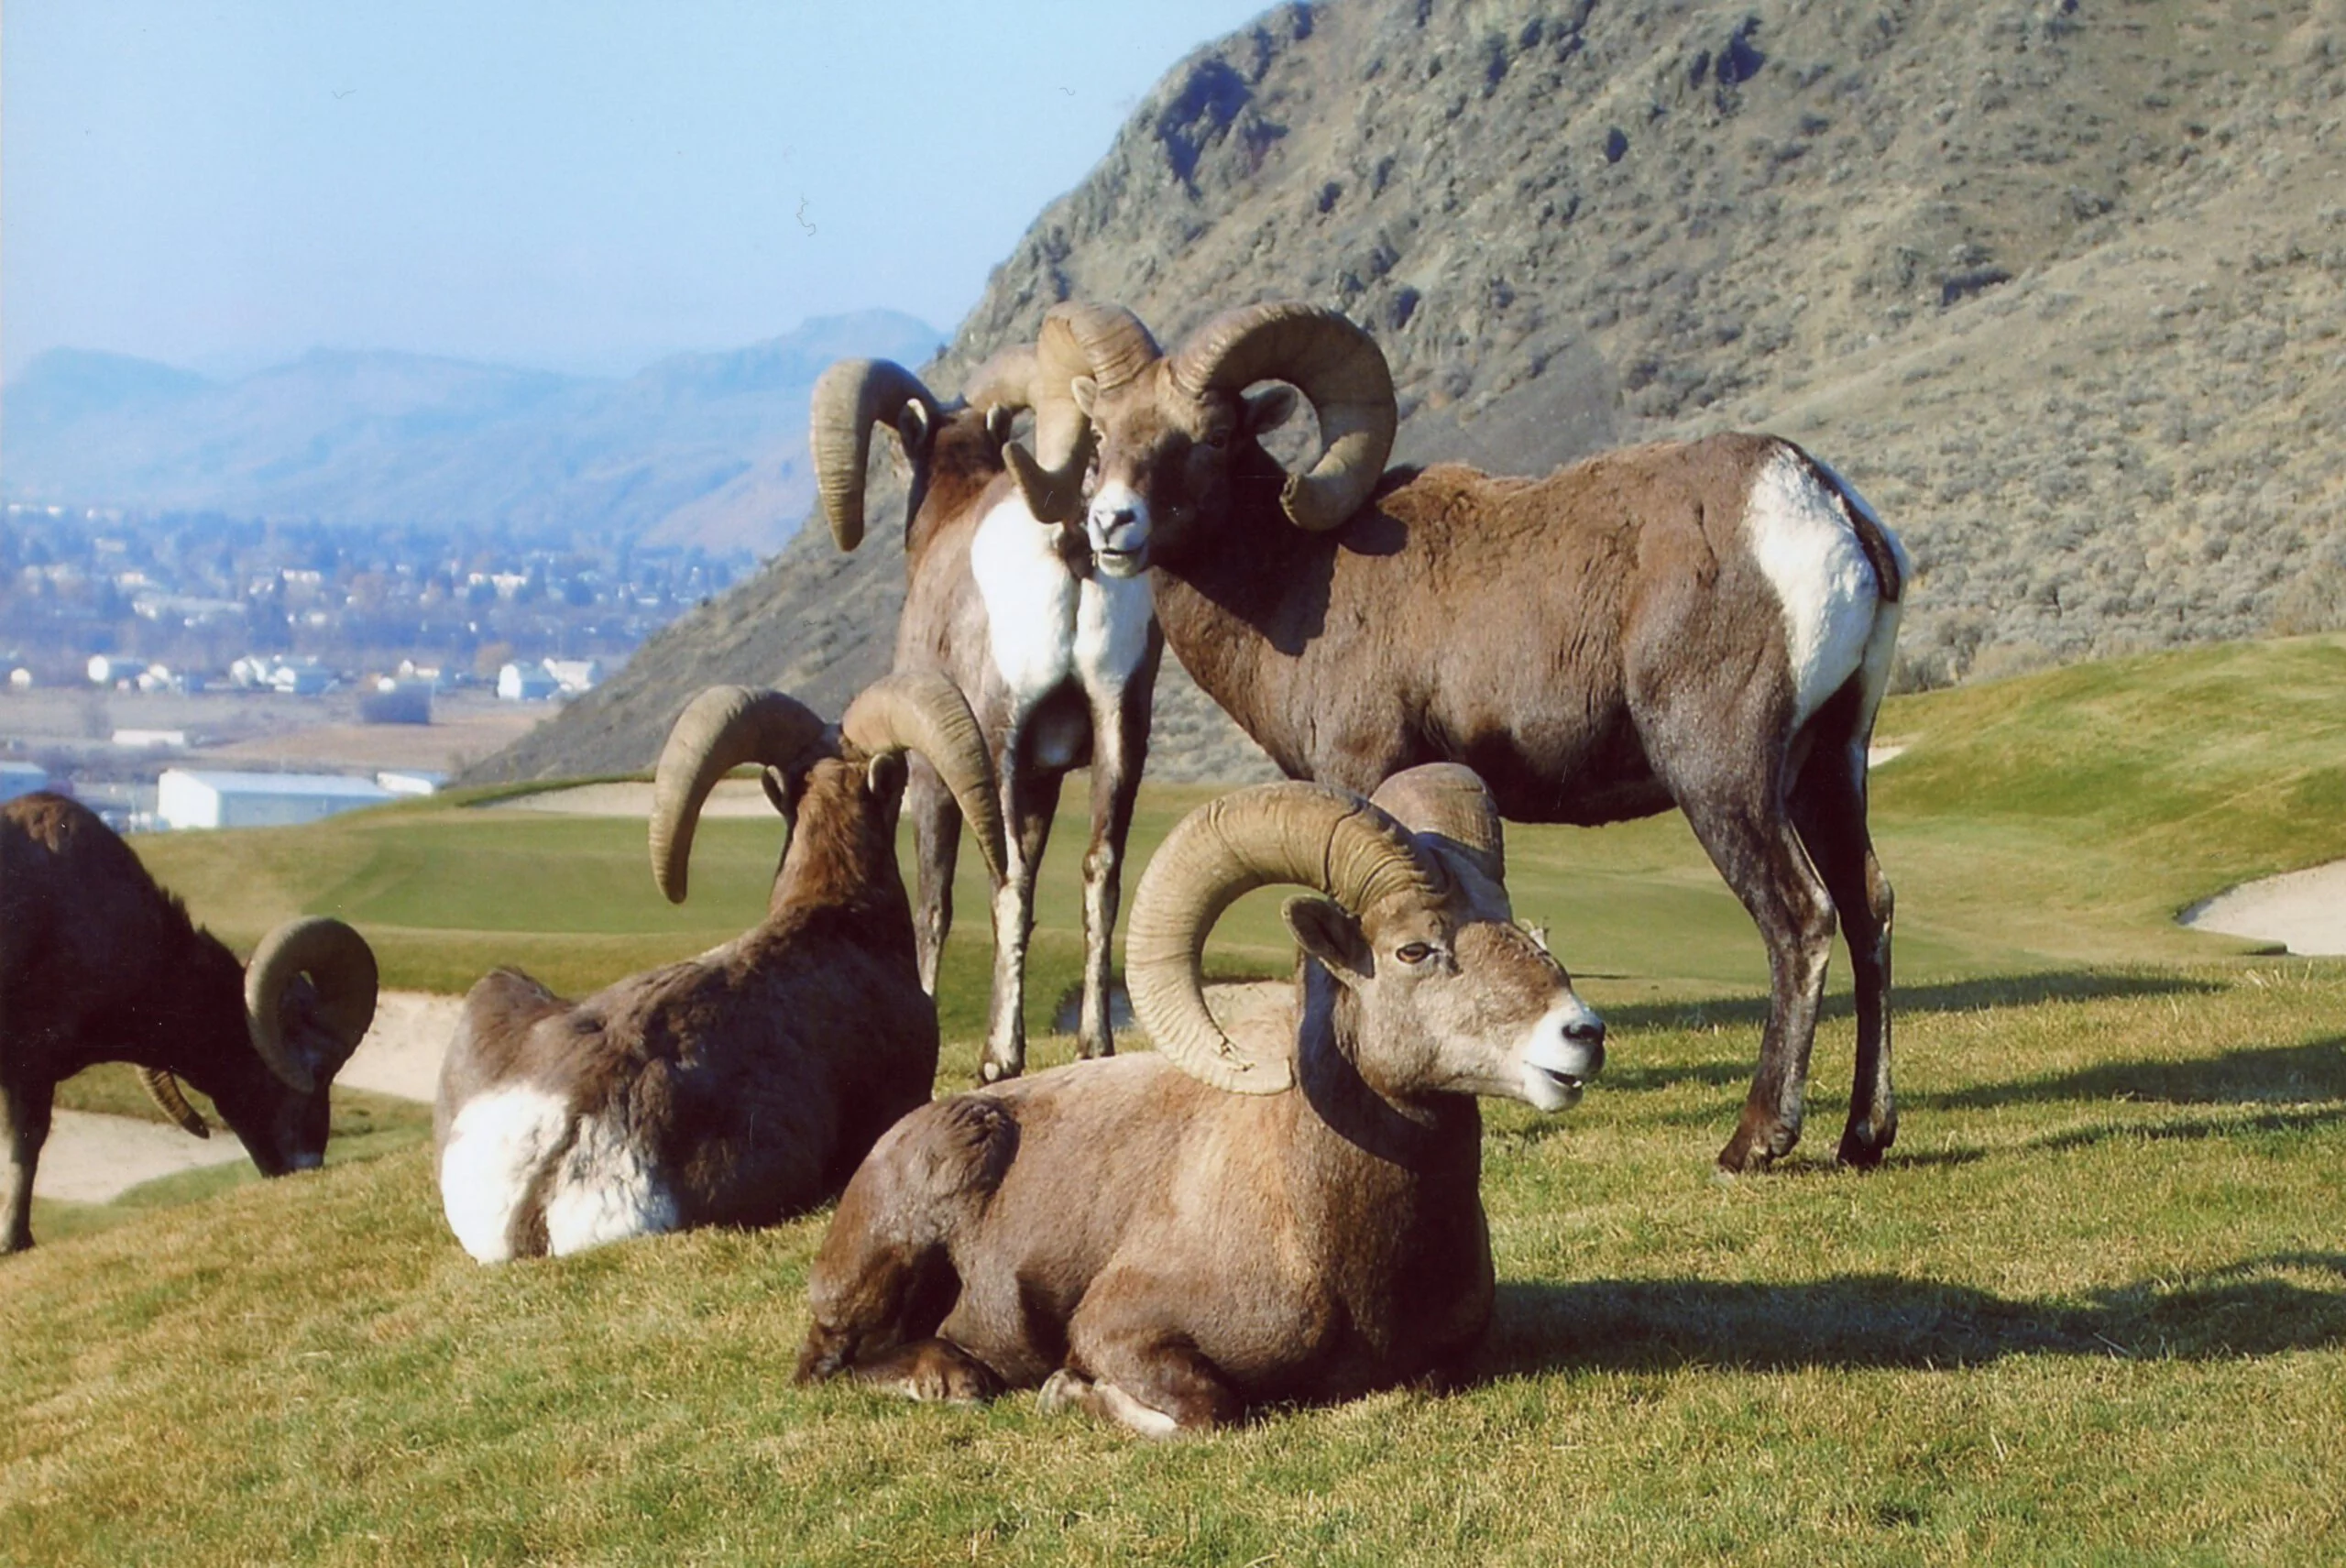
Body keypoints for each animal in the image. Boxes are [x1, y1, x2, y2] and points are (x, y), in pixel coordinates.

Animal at [794, 762, 1607, 1434]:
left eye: (1521, 924)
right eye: (1414, 949)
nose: (1581, 1033)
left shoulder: (1437, 1365)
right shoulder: (1124, 1330)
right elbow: (1209, 1408)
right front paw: (1067, 1389)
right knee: (825, 1366)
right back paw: (952, 1378)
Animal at [810, 331, 1165, 1082]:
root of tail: (1069, 545)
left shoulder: (933, 776)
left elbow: (935, 906)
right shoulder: (1045, 778)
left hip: (996, 736)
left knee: (1006, 879)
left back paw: (999, 1058)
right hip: (1120, 731)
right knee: (1099, 871)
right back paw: (1094, 1044)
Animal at [998, 300, 1910, 1175]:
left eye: (1212, 433)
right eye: (1102, 436)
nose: (1112, 524)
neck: (1293, 577)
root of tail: (1825, 510)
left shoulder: (1358, 770)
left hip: (1722, 774)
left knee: (1801, 917)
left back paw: (1753, 1142)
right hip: (1830, 767)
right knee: (1868, 908)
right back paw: (1863, 1136)